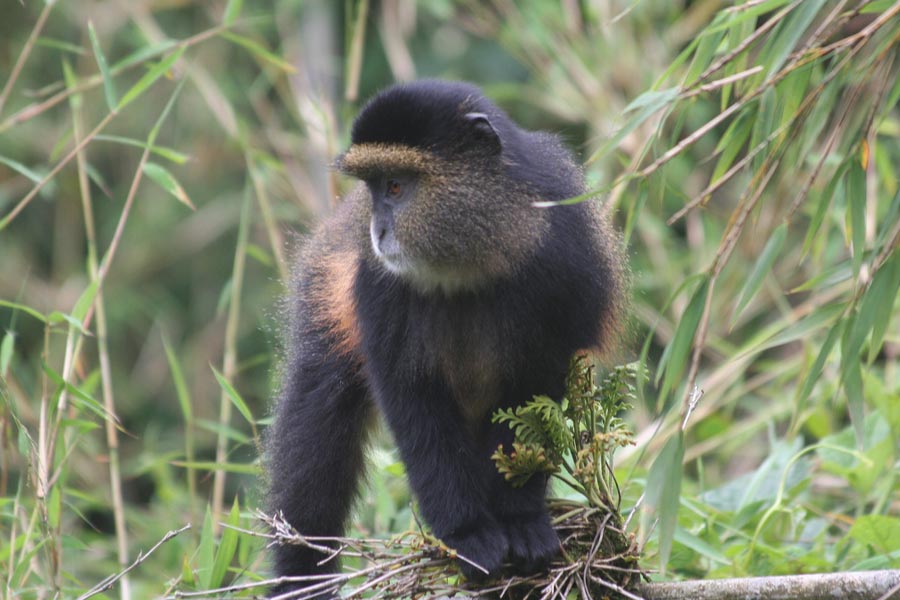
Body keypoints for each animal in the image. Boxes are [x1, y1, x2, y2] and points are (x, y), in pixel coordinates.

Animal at [266, 79, 624, 596]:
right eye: (374, 188)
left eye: (396, 186)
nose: (376, 230)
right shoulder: (377, 289)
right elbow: (413, 403)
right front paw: (467, 535)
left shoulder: (564, 262)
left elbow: (532, 396)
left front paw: (520, 520)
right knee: (319, 428)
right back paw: (301, 578)